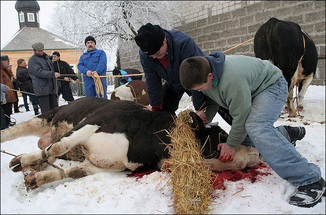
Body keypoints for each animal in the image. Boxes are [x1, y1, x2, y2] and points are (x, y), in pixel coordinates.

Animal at [0, 97, 260, 190]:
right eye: (222, 136)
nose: (257, 150)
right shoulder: (96, 120)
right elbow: (57, 147)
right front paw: (29, 162)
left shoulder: (112, 166)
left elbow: (73, 172)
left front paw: (36, 177)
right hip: (51, 115)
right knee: (20, 134)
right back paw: (25, 158)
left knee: (47, 149)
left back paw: (25, 163)